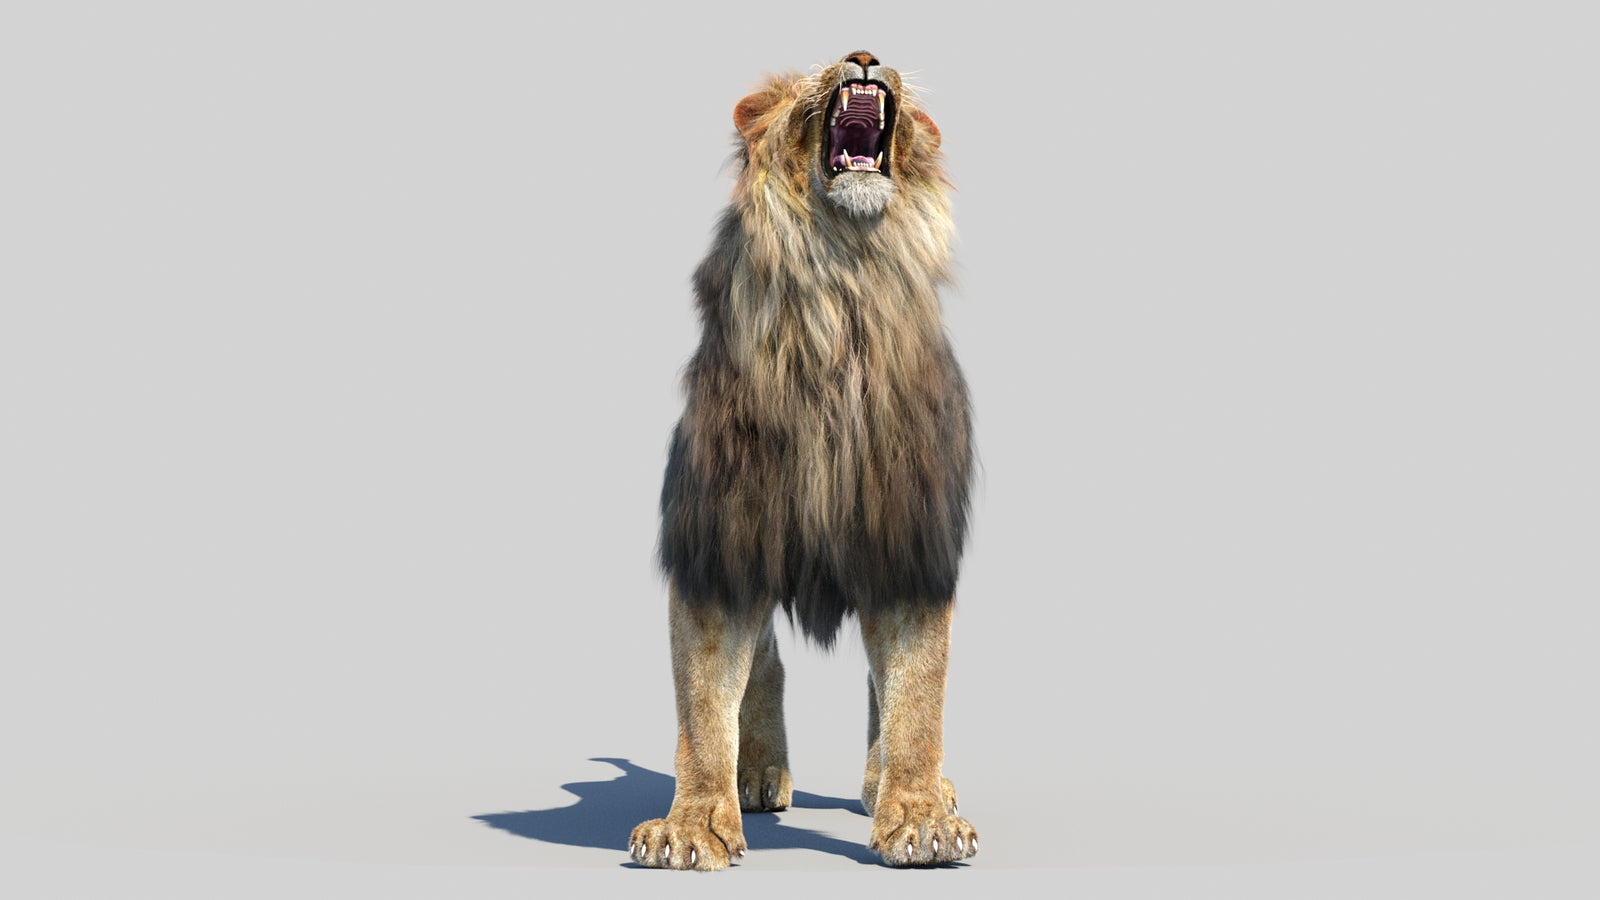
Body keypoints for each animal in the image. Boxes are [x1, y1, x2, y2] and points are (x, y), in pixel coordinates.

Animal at [629, 51, 976, 870]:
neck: (842, 282)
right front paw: (693, 823)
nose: (864, 55)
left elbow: (917, 691)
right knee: (765, 662)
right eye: (805, 85)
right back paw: (756, 774)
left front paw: (920, 816)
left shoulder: (906, 536)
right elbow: (703, 697)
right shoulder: (721, 538)